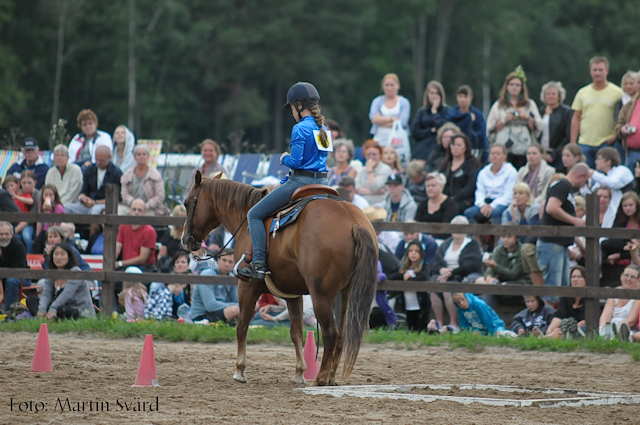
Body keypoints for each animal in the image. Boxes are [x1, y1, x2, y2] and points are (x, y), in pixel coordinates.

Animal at [181, 171, 380, 386]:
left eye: (186, 203)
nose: (185, 240)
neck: (245, 217)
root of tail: (353, 222)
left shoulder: (247, 287)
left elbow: (242, 326)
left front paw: (240, 370)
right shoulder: (293, 294)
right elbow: (296, 332)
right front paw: (299, 373)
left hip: (322, 295)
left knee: (330, 334)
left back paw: (321, 378)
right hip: (347, 294)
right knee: (342, 335)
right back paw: (331, 378)